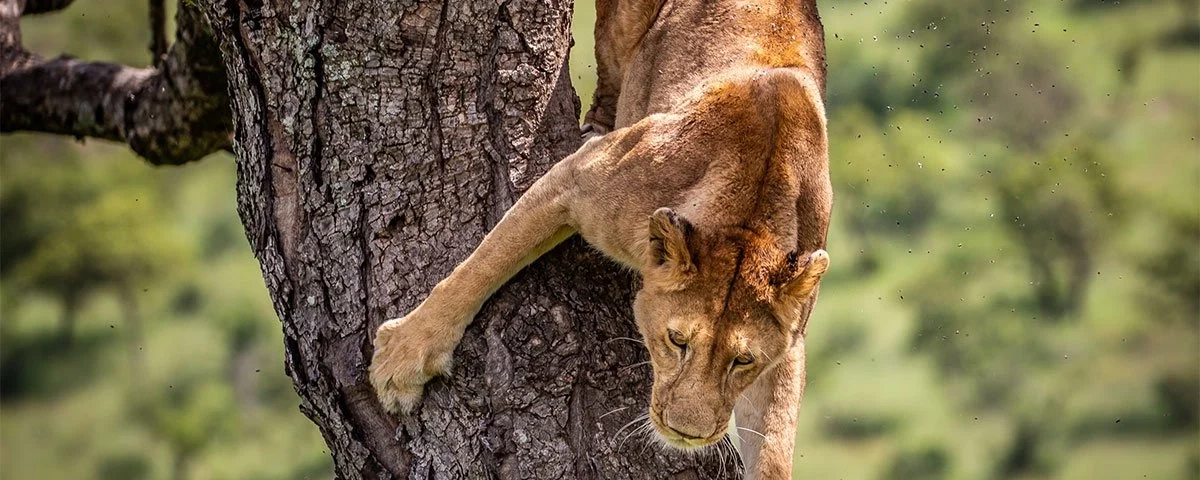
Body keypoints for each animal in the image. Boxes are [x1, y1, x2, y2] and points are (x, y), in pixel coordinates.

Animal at [369, 0, 831, 478]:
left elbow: (774, 441)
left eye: (743, 360)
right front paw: (403, 356)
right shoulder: (577, 179)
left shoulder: (789, 342)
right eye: (676, 341)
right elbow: (483, 265)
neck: (750, 219)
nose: (687, 433)